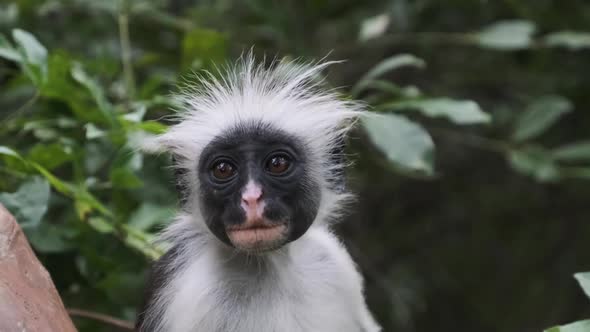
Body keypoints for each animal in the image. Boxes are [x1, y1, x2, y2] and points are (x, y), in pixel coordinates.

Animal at [136, 55, 382, 332]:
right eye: (223, 169)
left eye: (278, 164)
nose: (252, 198)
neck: (271, 264)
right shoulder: (190, 296)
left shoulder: (334, 261)